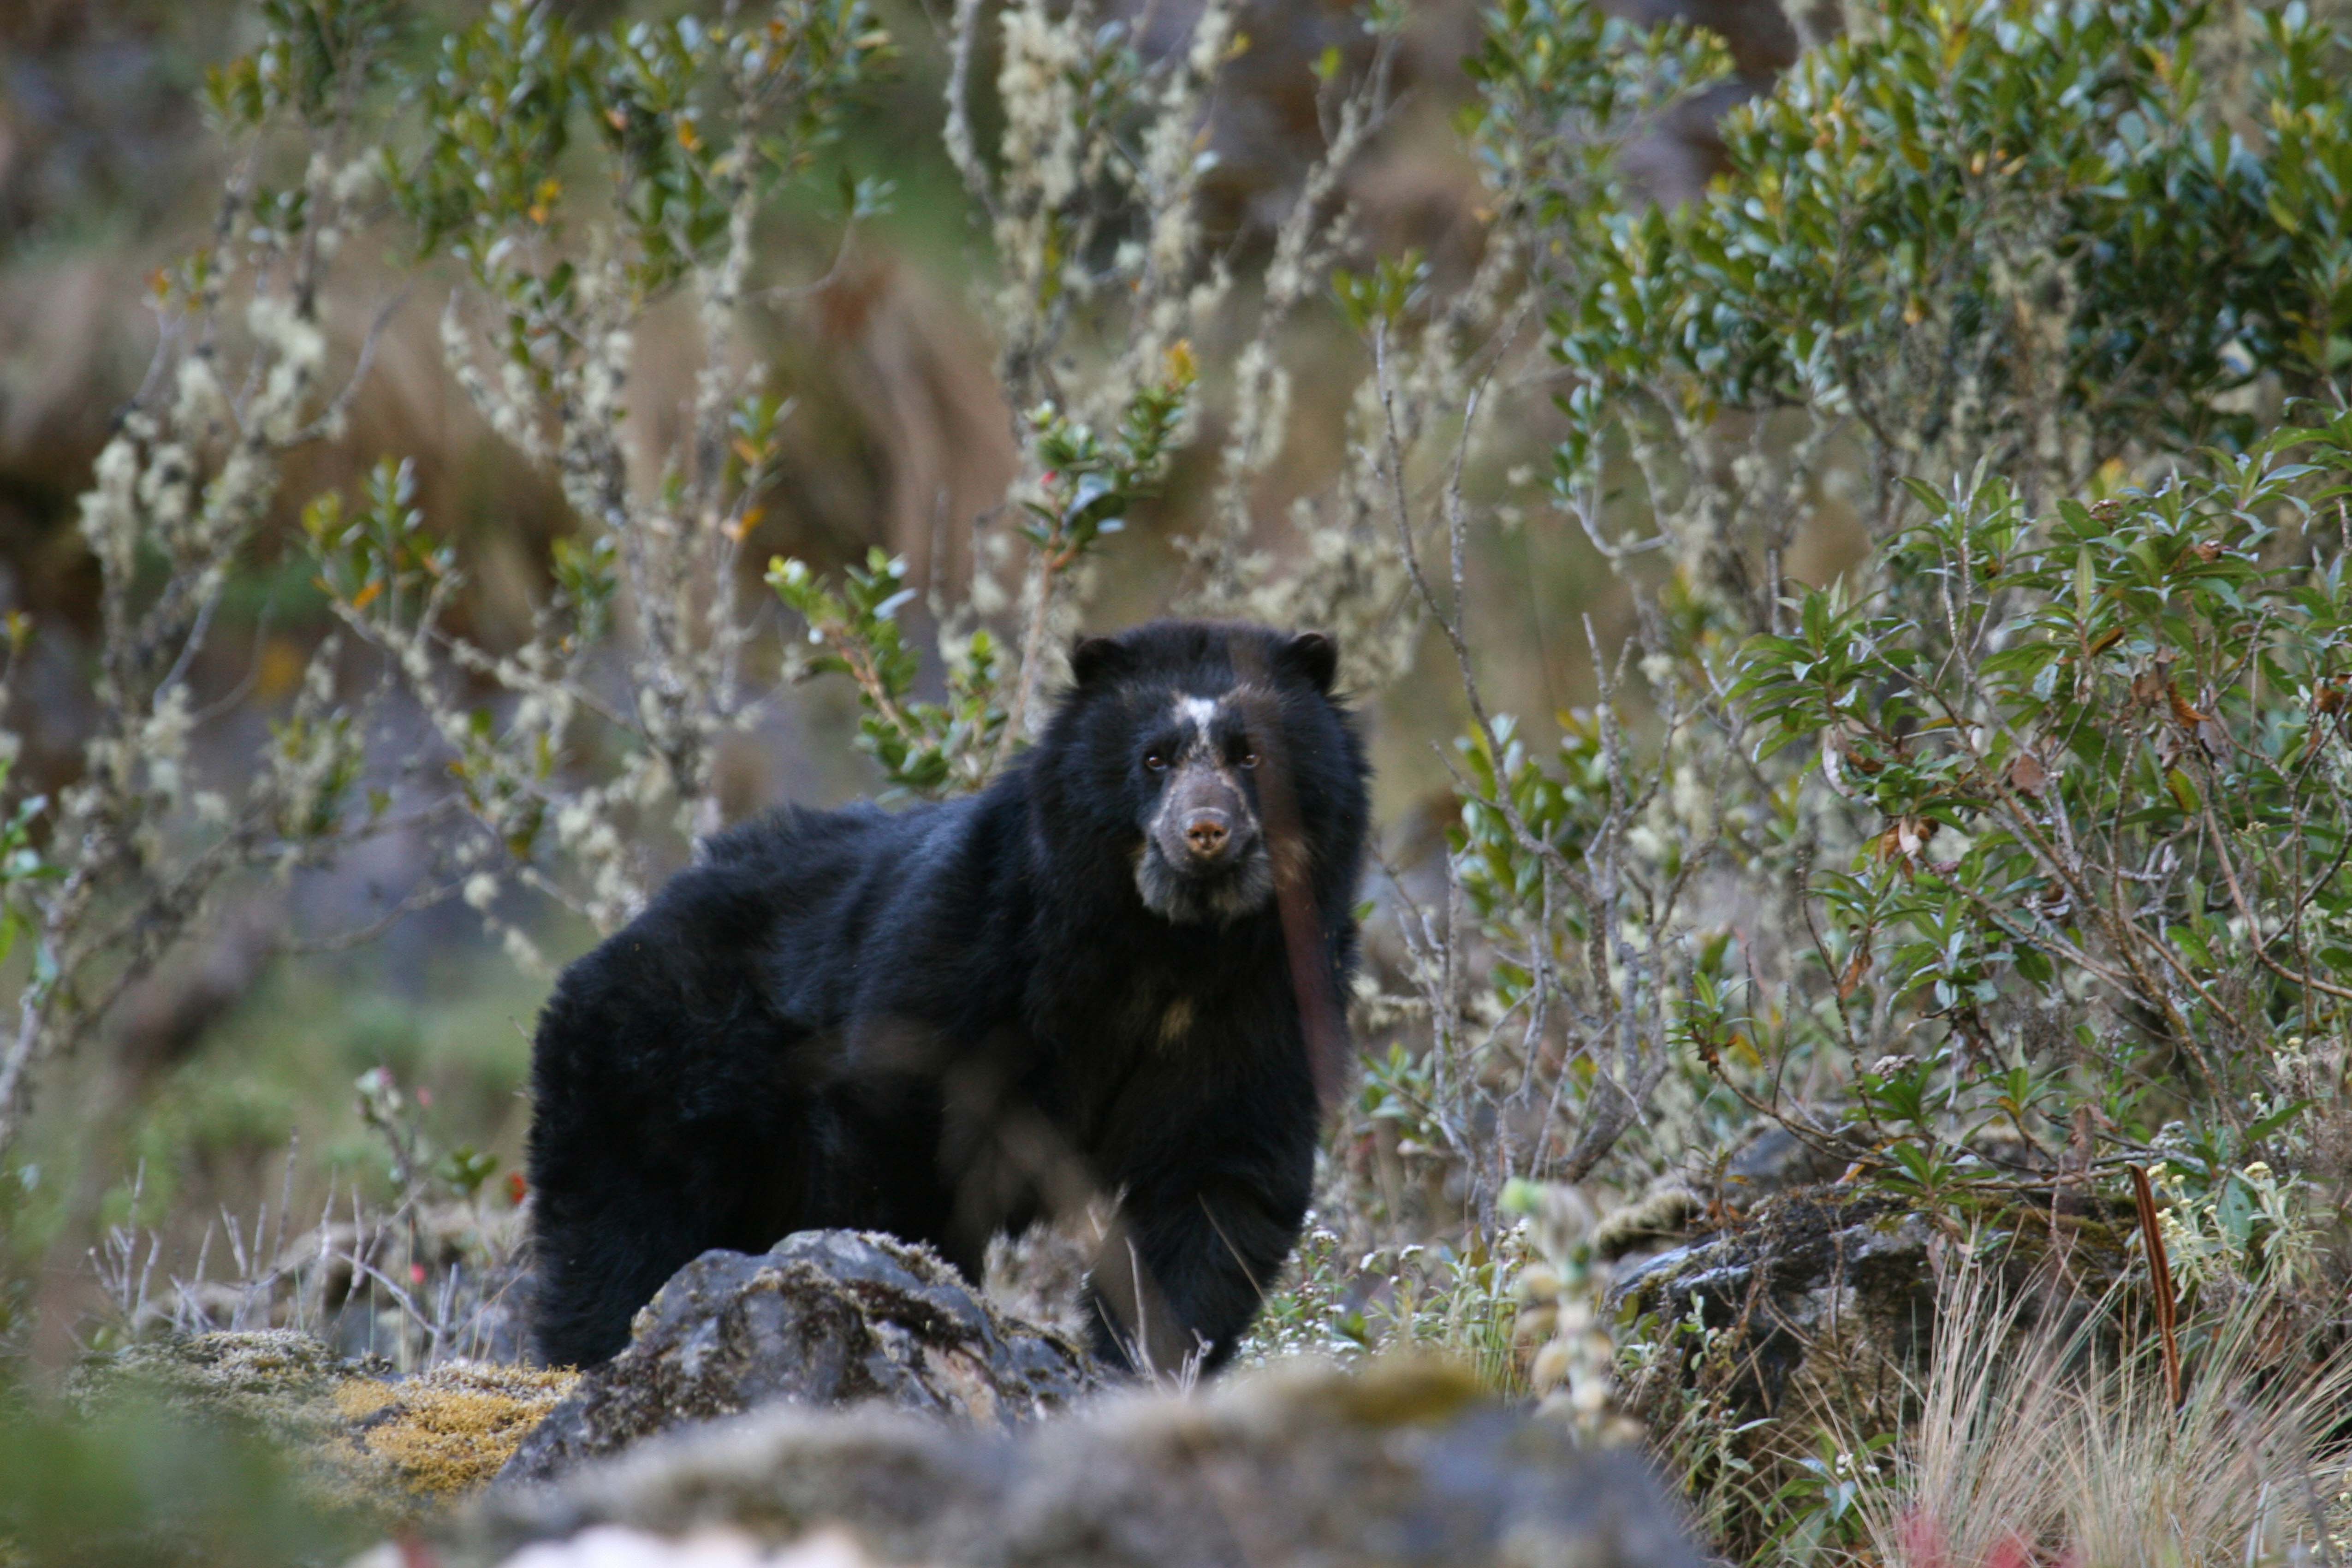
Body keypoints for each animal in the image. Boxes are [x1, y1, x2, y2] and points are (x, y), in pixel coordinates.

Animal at [524, 620, 1373, 1372]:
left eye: (1251, 756)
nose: (1204, 832)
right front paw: (912, 1288)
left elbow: (1217, 1181)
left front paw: (1152, 1361)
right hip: (656, 1078)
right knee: (620, 1236)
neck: (1169, 946)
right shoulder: (975, 952)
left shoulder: (1266, 1000)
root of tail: (624, 939)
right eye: (1155, 759)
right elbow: (906, 1128)